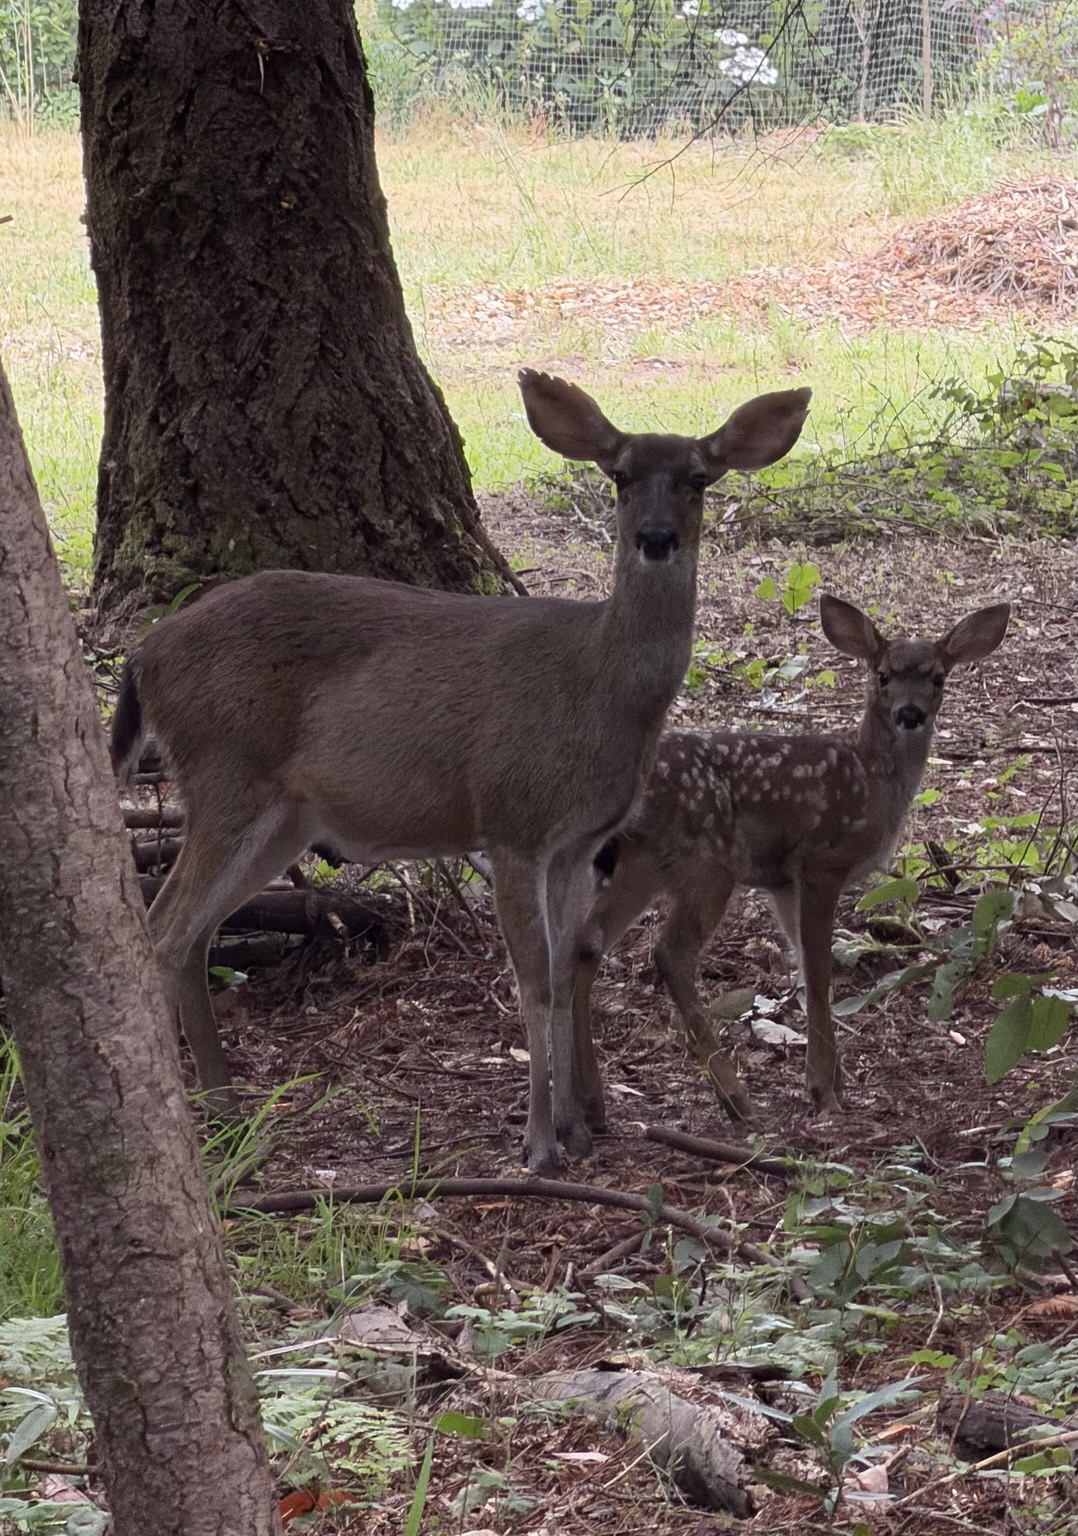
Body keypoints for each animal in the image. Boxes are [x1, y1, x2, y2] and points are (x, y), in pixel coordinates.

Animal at [110, 369, 812, 1174]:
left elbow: (568, 966)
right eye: (620, 476)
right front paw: (540, 1144)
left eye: (699, 477)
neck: (597, 689)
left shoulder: (577, 842)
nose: (657, 538)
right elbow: (534, 978)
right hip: (226, 771)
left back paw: (225, 1110)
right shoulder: (512, 819)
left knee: (194, 935)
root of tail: (144, 654)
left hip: (283, 815)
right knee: (164, 931)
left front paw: (573, 1129)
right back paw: (190, 1123)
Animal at [571, 593, 1010, 1127]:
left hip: (637, 865)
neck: (871, 780)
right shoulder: (820, 859)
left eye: (938, 677)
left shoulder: (781, 881)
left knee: (584, 946)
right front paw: (824, 1090)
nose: (910, 713)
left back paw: (591, 1104)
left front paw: (831, 1081)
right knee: (669, 953)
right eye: (883, 675)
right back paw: (734, 1098)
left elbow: (801, 966)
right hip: (708, 861)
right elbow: (819, 971)